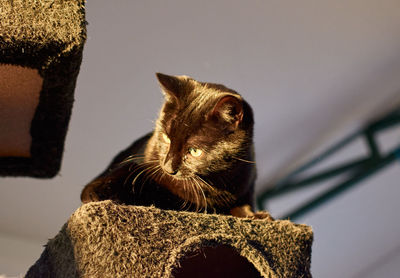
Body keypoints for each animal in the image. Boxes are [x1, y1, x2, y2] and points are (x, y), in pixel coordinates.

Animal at [80, 73, 272, 219]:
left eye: (194, 151)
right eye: (167, 138)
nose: (168, 167)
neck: (213, 182)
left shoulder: (246, 181)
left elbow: (242, 204)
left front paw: (257, 215)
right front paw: (97, 192)